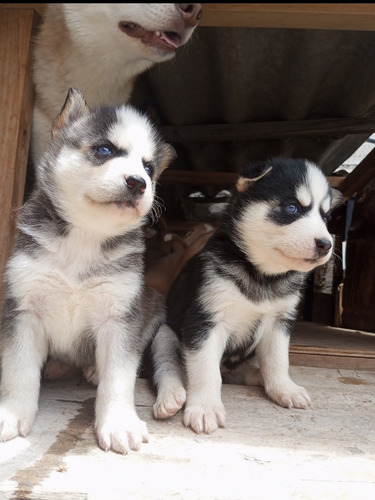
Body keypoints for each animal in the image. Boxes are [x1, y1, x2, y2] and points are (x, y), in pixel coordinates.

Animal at [0, 88, 184, 456]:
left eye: (148, 167)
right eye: (105, 150)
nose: (138, 183)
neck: (85, 236)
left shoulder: (119, 317)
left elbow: (118, 378)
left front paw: (118, 424)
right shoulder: (23, 309)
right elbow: (18, 369)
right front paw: (12, 413)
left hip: (157, 322)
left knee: (163, 358)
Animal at [153, 159, 344, 434]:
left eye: (326, 216)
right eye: (292, 207)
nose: (326, 244)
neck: (262, 275)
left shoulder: (279, 322)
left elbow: (277, 360)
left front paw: (283, 388)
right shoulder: (205, 321)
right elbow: (206, 371)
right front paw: (205, 408)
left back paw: (260, 377)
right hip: (164, 334)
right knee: (168, 369)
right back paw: (171, 397)